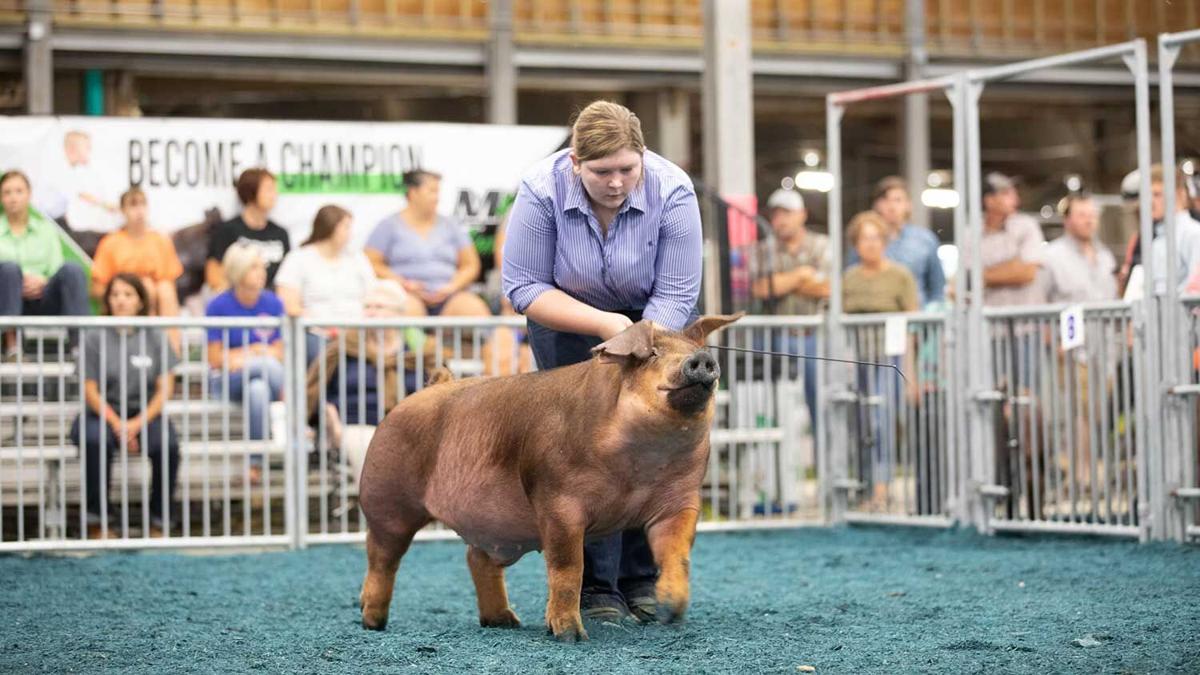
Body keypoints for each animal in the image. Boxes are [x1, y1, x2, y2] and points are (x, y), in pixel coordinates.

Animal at [357, 314, 741, 642]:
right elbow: (568, 568)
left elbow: (676, 554)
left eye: (698, 351)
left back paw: (505, 622)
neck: (639, 466)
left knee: (476, 559)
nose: (702, 359)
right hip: (386, 498)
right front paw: (571, 635)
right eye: (652, 354)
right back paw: (373, 621)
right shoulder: (558, 500)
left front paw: (669, 612)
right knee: (381, 558)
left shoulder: (679, 502)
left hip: (491, 523)